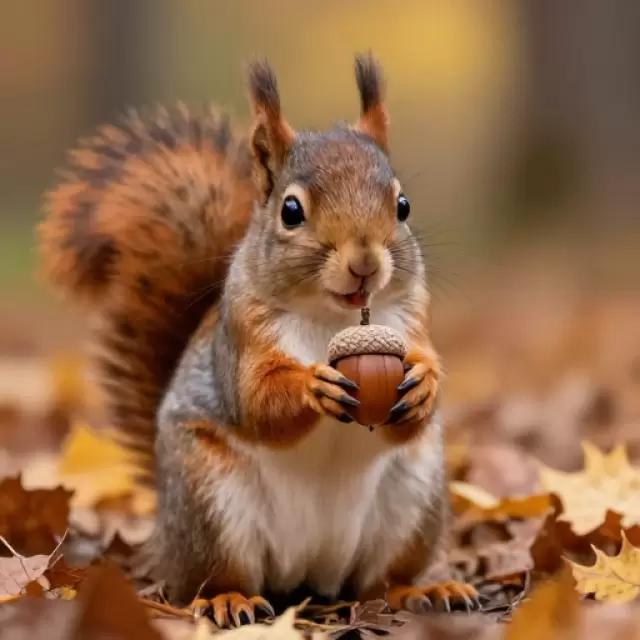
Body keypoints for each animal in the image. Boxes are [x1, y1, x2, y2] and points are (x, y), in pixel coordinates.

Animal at [38, 53, 479, 626]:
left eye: (402, 205)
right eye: (291, 211)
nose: (364, 261)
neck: (334, 319)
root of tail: (311, 571)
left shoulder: (411, 320)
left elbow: (419, 393)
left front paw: (424, 382)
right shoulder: (244, 336)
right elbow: (255, 401)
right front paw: (313, 386)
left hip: (412, 501)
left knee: (380, 582)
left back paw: (423, 590)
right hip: (212, 504)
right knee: (214, 578)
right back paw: (229, 600)